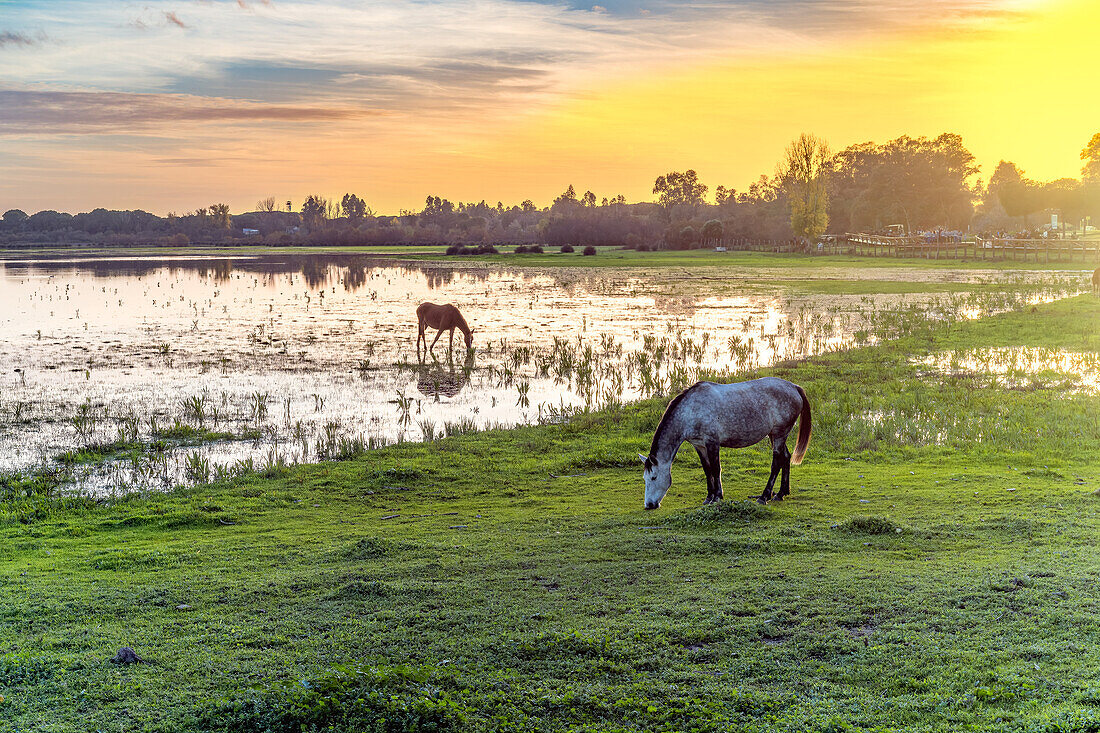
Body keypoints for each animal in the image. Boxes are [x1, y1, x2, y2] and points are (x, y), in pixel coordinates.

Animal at [642, 376, 814, 508]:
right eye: (645, 479)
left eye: (654, 477)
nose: (649, 505)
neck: (690, 411)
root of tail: (794, 387)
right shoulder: (699, 445)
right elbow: (707, 470)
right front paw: (708, 497)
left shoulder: (712, 443)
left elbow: (716, 469)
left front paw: (717, 496)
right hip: (774, 435)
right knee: (786, 457)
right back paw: (781, 493)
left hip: (779, 434)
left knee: (777, 462)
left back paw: (764, 496)